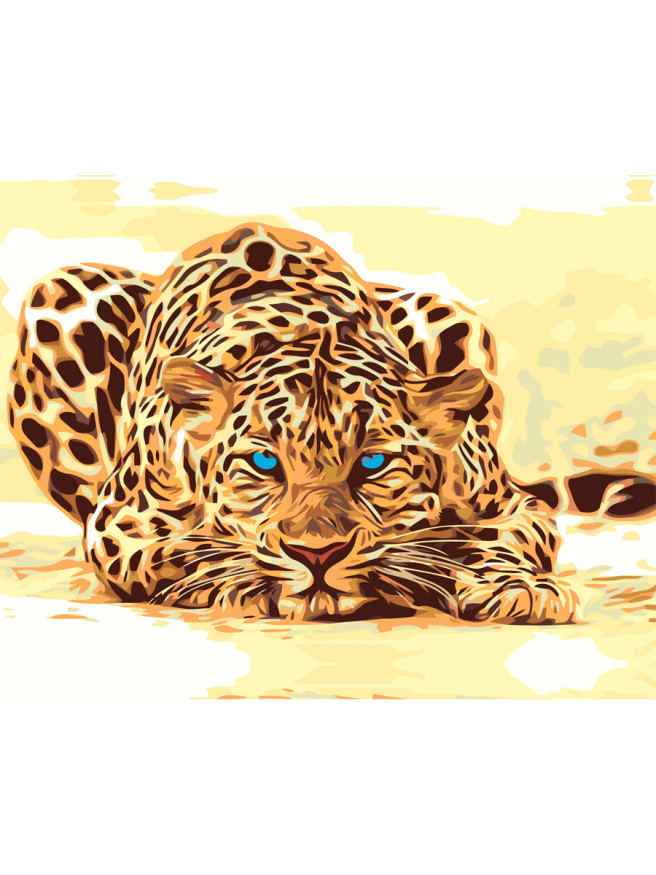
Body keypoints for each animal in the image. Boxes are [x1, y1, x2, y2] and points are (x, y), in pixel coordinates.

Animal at [7, 222, 593, 623]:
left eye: (372, 463)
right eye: (264, 461)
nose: (317, 554)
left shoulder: (516, 507)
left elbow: (485, 537)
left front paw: (517, 587)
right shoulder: (120, 524)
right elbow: (190, 551)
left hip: (450, 313)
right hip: (59, 293)